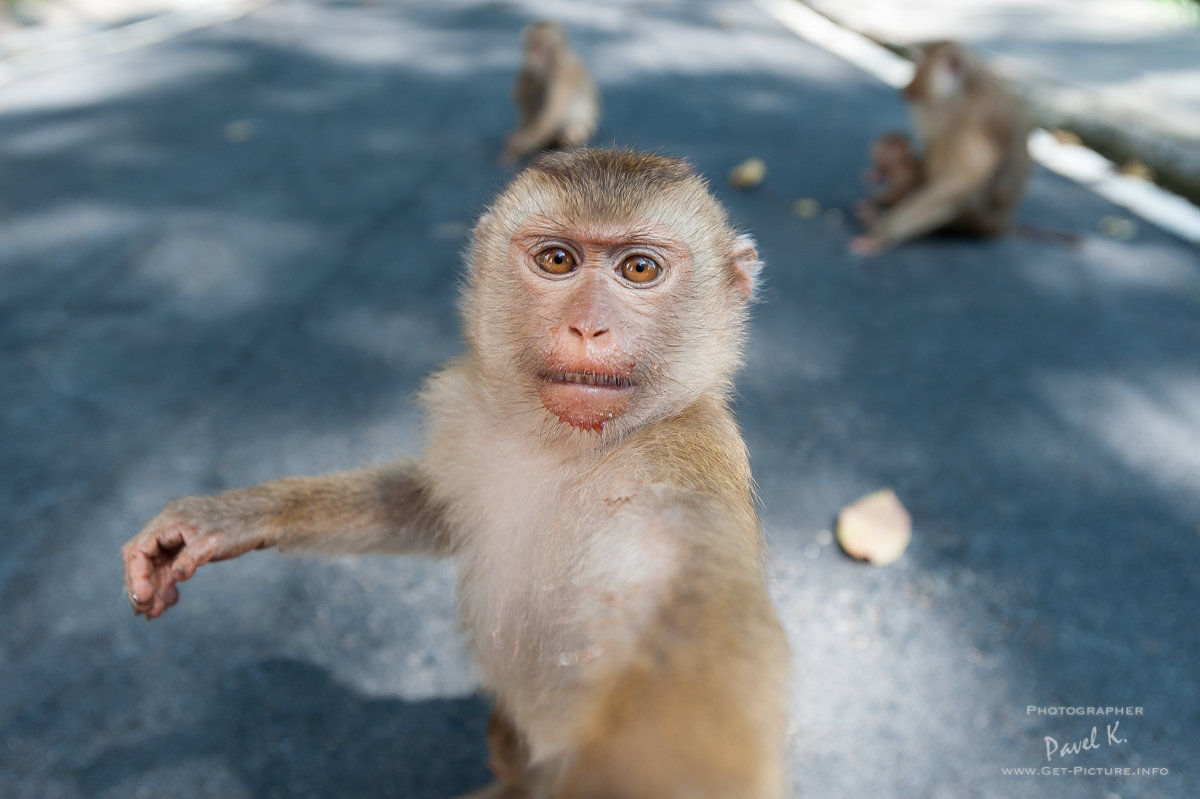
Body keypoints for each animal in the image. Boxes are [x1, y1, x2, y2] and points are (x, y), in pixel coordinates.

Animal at [121, 147, 792, 796]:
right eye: (557, 260)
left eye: (640, 270)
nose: (586, 326)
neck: (566, 450)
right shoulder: (471, 421)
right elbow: (431, 508)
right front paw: (232, 516)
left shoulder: (677, 471)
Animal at [501, 20, 604, 163]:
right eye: (532, 48)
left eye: (541, 49)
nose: (533, 58)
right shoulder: (528, 69)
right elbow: (524, 100)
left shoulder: (563, 73)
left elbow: (553, 115)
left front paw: (520, 145)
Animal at [849, 40, 1036, 253]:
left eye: (919, 67)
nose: (907, 85)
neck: (964, 87)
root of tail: (1001, 225)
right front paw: (882, 188)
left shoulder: (968, 121)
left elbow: (961, 179)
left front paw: (885, 231)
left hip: (975, 218)